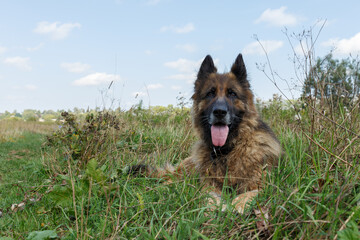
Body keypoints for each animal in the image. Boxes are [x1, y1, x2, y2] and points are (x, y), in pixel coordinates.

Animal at [131, 53, 282, 213]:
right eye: (210, 93)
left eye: (232, 93)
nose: (220, 112)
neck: (226, 151)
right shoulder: (208, 184)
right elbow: (208, 195)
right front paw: (214, 205)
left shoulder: (262, 184)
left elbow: (251, 193)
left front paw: (238, 204)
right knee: (169, 179)